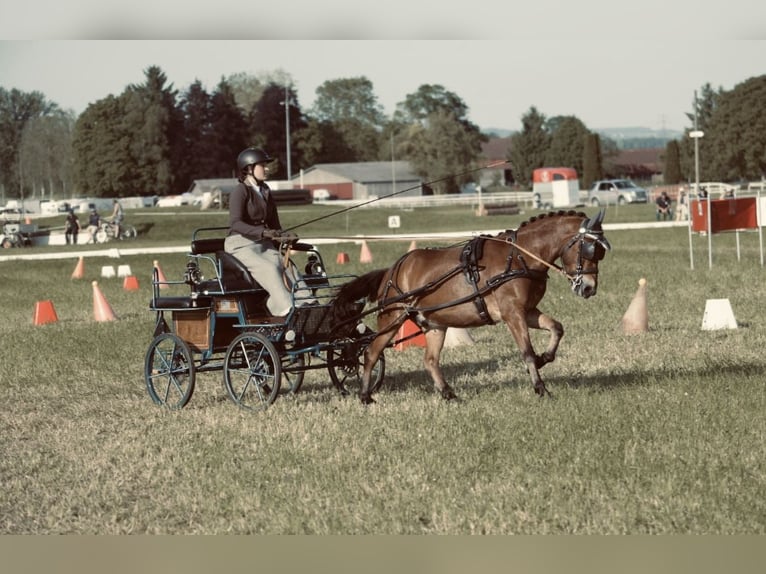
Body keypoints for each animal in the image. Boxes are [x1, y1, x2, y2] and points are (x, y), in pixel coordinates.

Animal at [332, 210, 616, 404]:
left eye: (601, 252)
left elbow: (557, 328)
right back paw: (365, 395)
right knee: (371, 352)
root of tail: (393, 269)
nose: (589, 288)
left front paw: (544, 358)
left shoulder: (527, 312)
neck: (520, 256)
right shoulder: (513, 314)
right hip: (393, 317)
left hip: (434, 325)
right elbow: (525, 351)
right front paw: (540, 387)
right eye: (590, 249)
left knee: (430, 360)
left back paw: (448, 394)